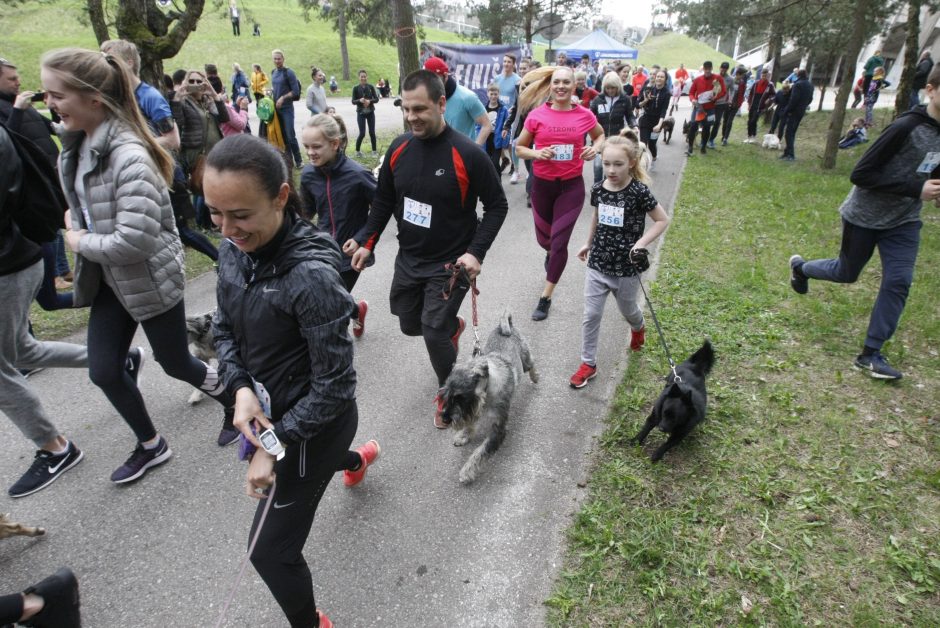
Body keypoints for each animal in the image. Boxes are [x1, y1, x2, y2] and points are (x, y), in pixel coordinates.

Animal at [436, 310, 536, 486]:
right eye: (445, 394)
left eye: (460, 397)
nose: (446, 419)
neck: (488, 392)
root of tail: (505, 326)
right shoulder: (474, 410)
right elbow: (469, 424)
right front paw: (463, 435)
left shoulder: (498, 428)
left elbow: (480, 451)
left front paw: (467, 471)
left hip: (524, 361)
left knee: (532, 364)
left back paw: (536, 377)